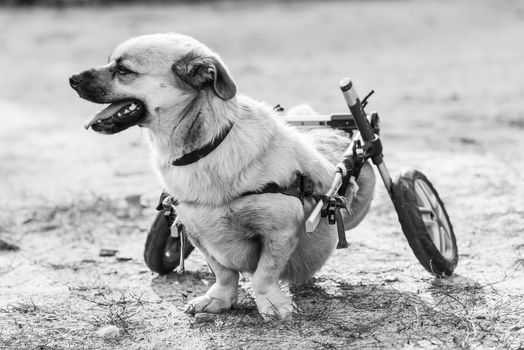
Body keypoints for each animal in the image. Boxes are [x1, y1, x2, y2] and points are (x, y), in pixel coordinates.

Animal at [69, 33, 374, 320]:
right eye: (110, 62)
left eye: (124, 70)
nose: (72, 79)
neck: (207, 148)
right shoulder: (196, 232)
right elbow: (224, 272)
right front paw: (220, 299)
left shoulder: (280, 231)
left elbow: (264, 274)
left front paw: (271, 303)